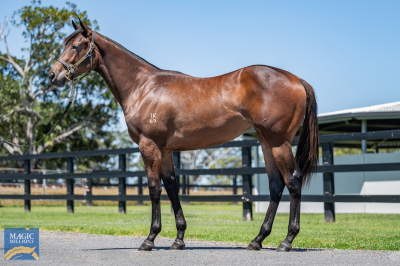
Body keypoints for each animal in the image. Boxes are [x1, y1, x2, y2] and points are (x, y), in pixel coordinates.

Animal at [50, 18, 318, 251]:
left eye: (76, 46)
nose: (53, 75)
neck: (143, 87)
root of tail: (297, 80)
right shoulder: (166, 150)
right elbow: (172, 187)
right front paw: (178, 239)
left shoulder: (149, 146)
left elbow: (154, 189)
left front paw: (150, 239)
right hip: (266, 142)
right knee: (276, 184)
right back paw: (257, 240)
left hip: (278, 142)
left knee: (293, 180)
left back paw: (287, 241)